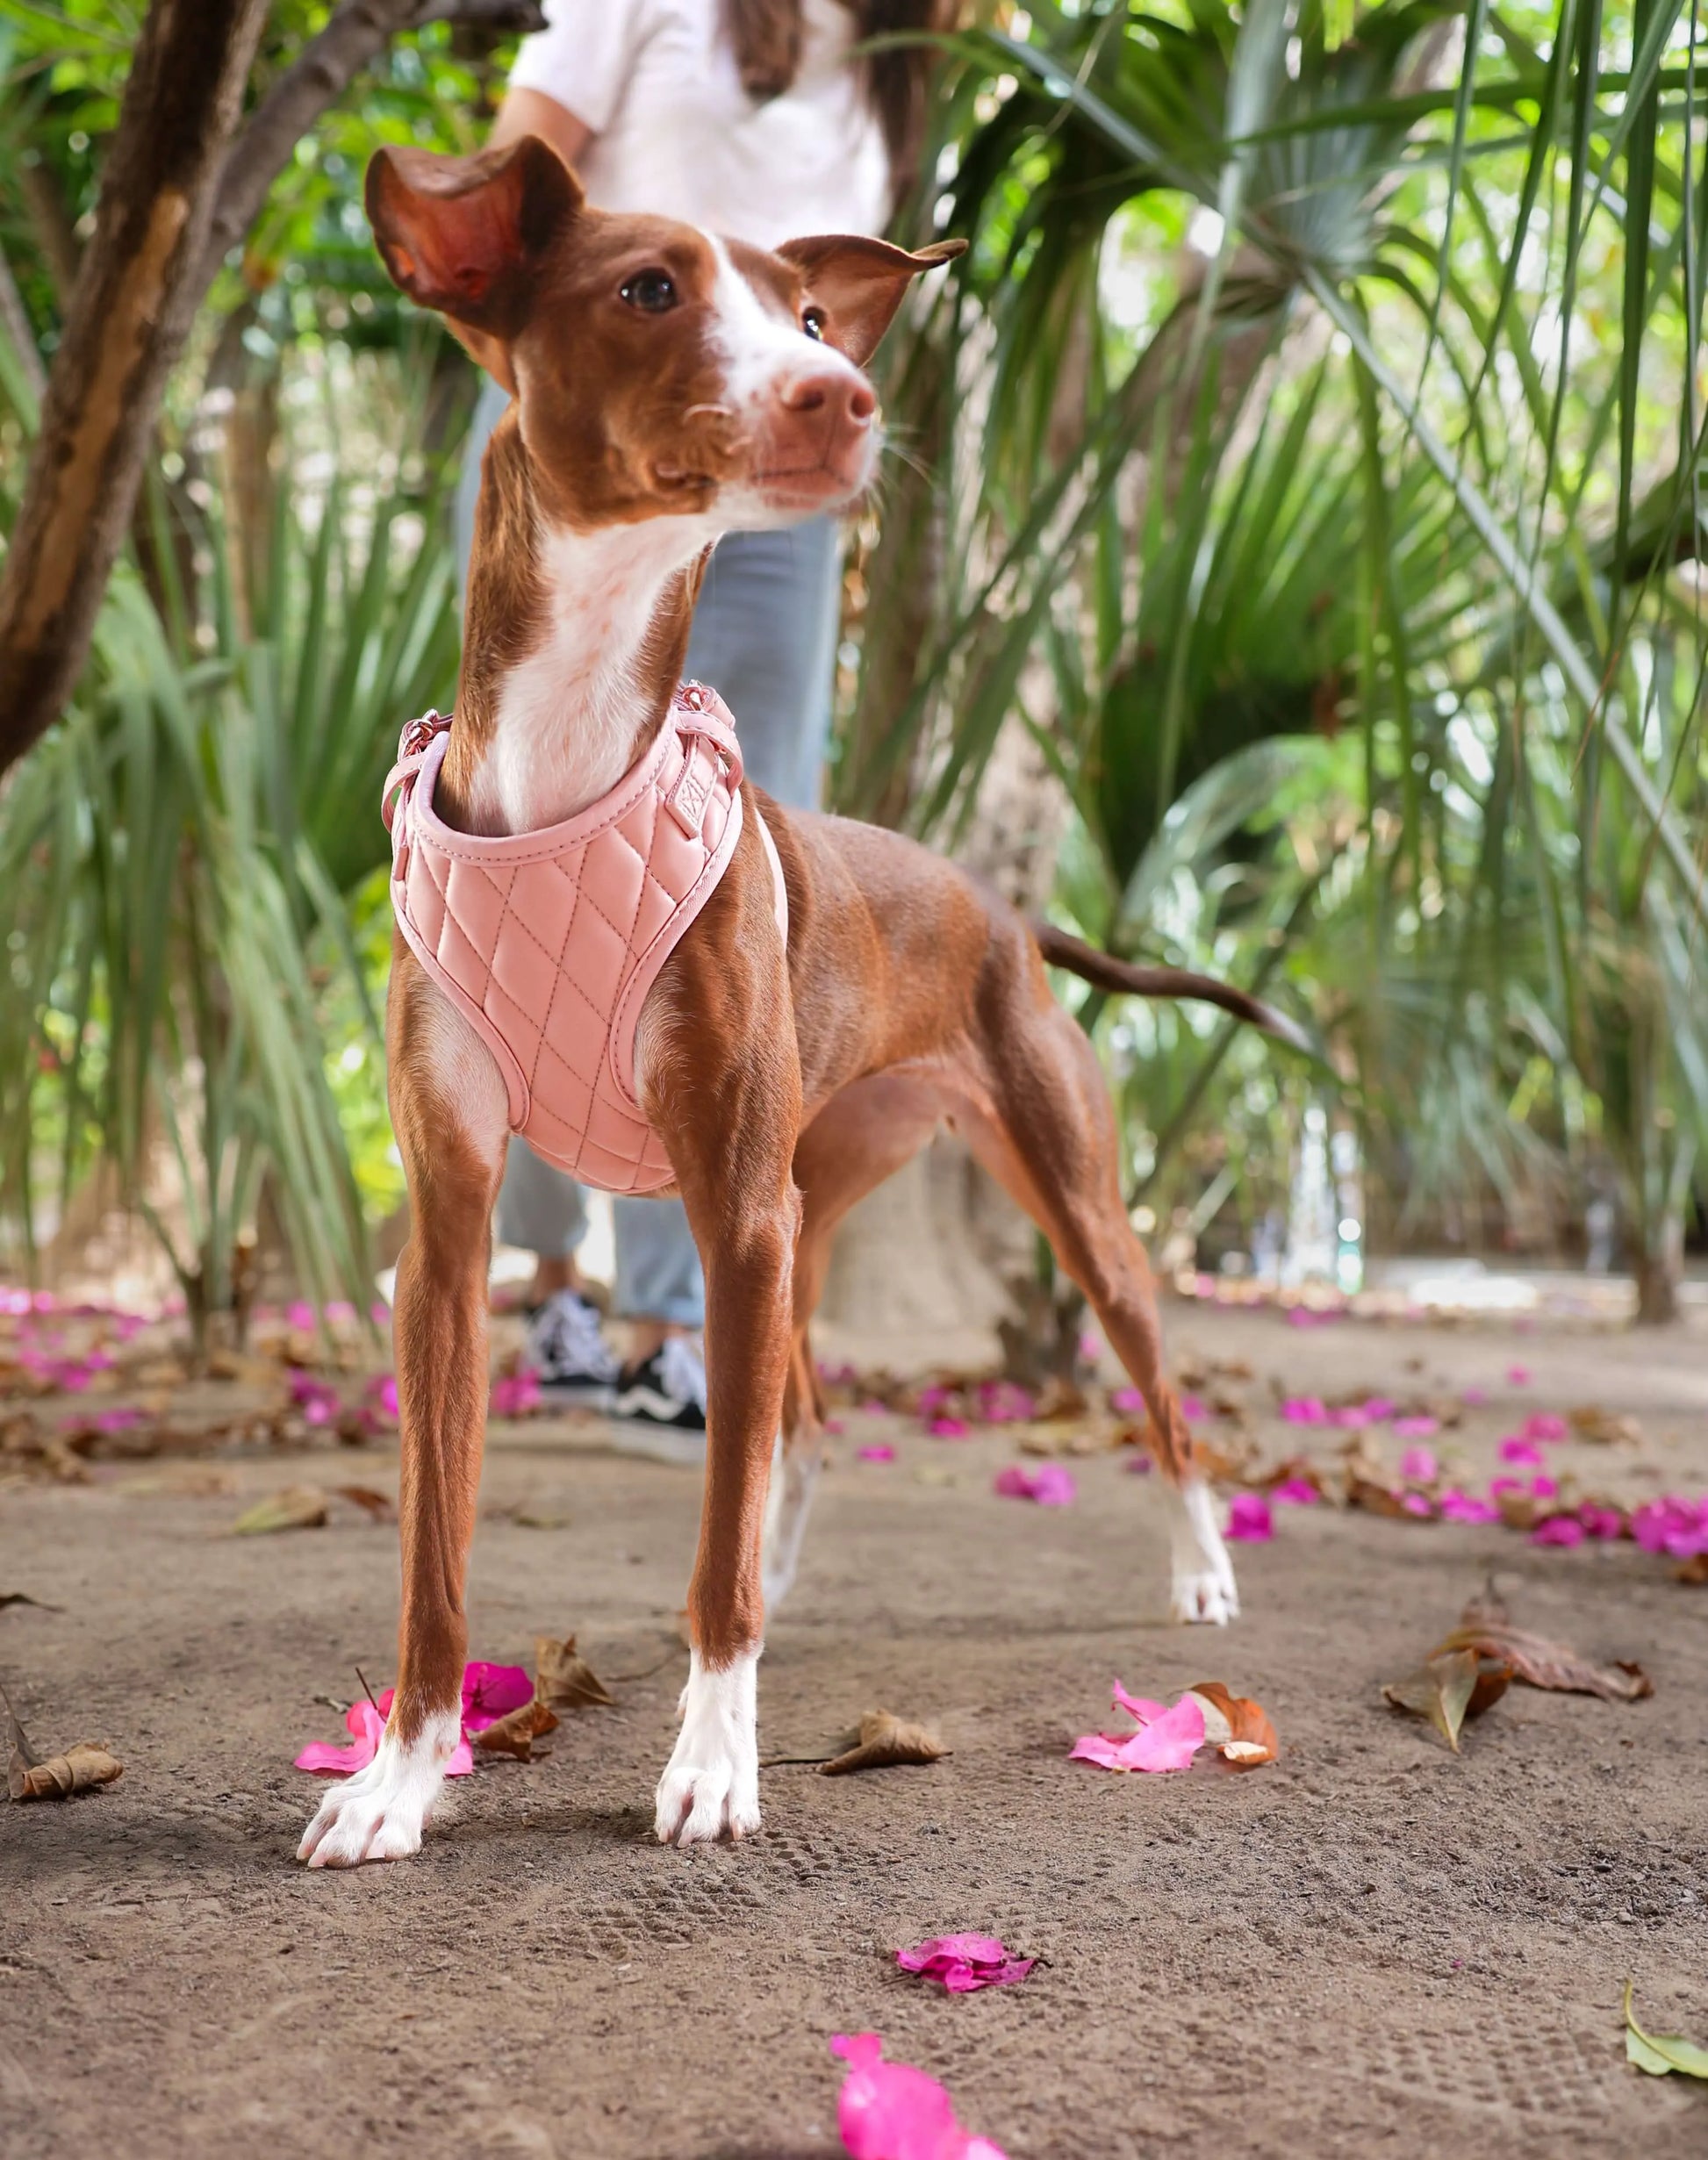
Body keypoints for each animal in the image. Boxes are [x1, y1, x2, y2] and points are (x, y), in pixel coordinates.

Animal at [299, 134, 1278, 1866]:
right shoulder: (454, 1234)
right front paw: (399, 1777)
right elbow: (434, 1567)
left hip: (1054, 1209)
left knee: (1158, 1405)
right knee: (795, 1427)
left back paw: (1201, 1571)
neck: (567, 774)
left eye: (812, 312)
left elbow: (713, 1554)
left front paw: (713, 1760)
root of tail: (1000, 910)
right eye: (647, 288)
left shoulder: (734, 1215)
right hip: (805, 1213)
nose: (846, 393)